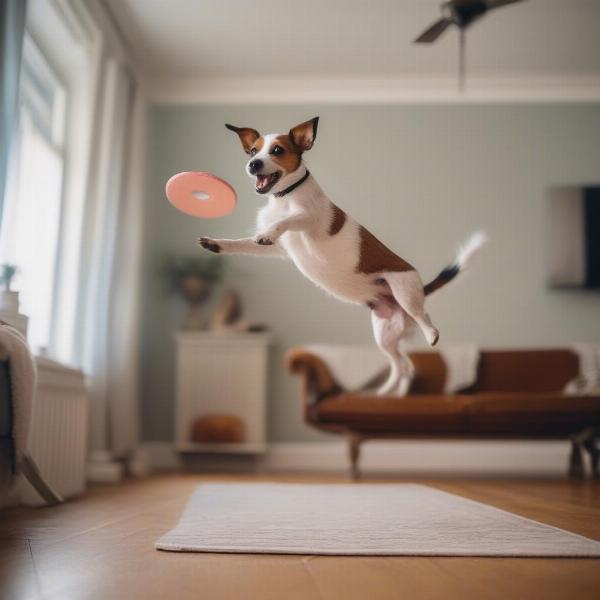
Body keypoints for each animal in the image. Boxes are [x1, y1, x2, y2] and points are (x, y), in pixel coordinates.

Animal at [199, 119, 486, 396]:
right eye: (253, 150)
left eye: (277, 150)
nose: (253, 164)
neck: (284, 197)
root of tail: (419, 293)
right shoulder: (280, 250)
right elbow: (242, 244)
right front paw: (217, 244)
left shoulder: (309, 219)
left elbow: (287, 220)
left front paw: (269, 230)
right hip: (386, 335)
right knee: (404, 367)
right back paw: (386, 393)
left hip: (405, 293)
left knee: (423, 320)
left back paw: (430, 334)